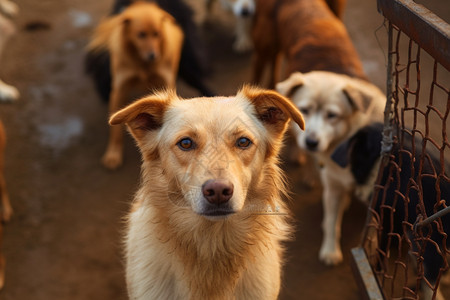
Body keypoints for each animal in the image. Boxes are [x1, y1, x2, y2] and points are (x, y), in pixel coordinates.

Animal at [276, 71, 384, 266]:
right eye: (304, 110)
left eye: (332, 115)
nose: (311, 142)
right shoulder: (333, 187)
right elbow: (332, 223)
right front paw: (331, 250)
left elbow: (372, 231)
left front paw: (371, 253)